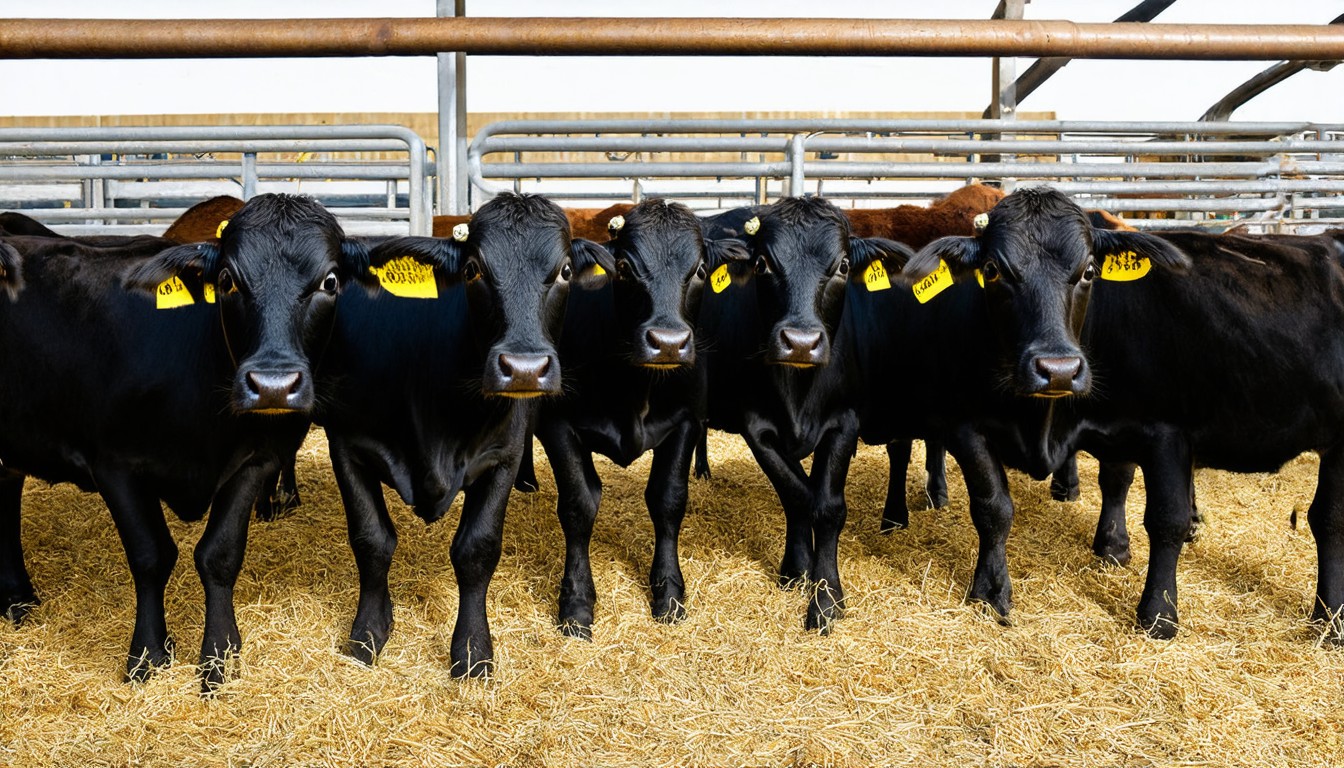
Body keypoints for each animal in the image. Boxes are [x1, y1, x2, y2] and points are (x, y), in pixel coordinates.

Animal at [0, 194, 403, 691]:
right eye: (228, 279)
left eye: (330, 281)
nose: (272, 386)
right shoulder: (115, 465)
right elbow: (151, 556)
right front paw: (148, 654)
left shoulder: (254, 460)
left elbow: (219, 556)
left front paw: (218, 657)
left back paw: (17, 598)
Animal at [314, 192, 605, 677]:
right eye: (473, 270)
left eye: (564, 270)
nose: (523, 369)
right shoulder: (346, 446)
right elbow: (372, 540)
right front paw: (368, 633)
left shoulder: (501, 456)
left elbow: (477, 549)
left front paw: (472, 650)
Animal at [534, 199, 747, 638]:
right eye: (625, 268)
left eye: (700, 270)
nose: (667, 343)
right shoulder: (556, 425)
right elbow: (579, 505)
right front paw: (576, 603)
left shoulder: (686, 421)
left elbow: (667, 500)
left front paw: (669, 593)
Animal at [908, 187, 1344, 642]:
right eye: (993, 270)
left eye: (1088, 271)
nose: (1057, 369)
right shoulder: (970, 425)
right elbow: (996, 508)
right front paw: (992, 591)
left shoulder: (1167, 432)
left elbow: (1165, 521)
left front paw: (1159, 614)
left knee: (1329, 521)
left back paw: (1329, 618)